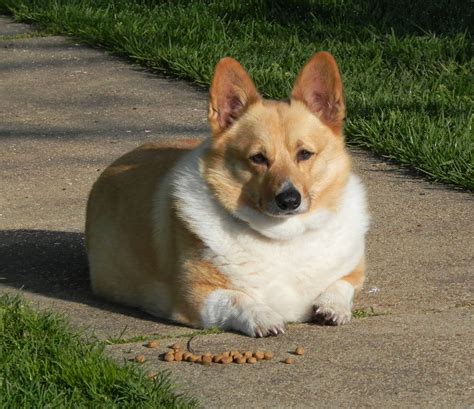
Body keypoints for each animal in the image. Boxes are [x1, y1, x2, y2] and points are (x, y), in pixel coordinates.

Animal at [87, 51, 372, 336]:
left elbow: (340, 286)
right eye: (258, 158)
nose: (289, 200)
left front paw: (332, 307)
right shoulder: (195, 296)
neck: (283, 236)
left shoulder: (352, 275)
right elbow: (236, 298)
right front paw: (263, 317)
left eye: (305, 154)